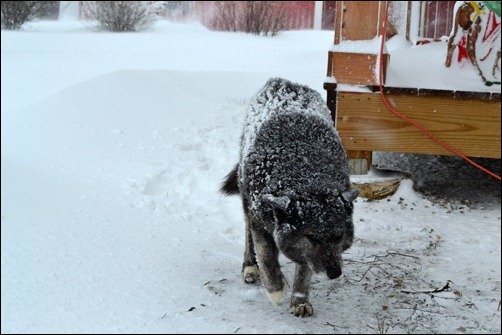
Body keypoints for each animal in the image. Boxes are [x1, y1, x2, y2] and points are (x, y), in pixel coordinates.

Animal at [222, 79, 358, 318]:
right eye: (312, 237)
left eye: (338, 235)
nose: (334, 273)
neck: (303, 172)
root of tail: (283, 82)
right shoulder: (260, 223)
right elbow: (267, 258)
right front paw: (276, 290)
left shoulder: (305, 253)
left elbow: (304, 270)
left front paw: (300, 300)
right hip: (247, 204)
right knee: (248, 237)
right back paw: (250, 267)